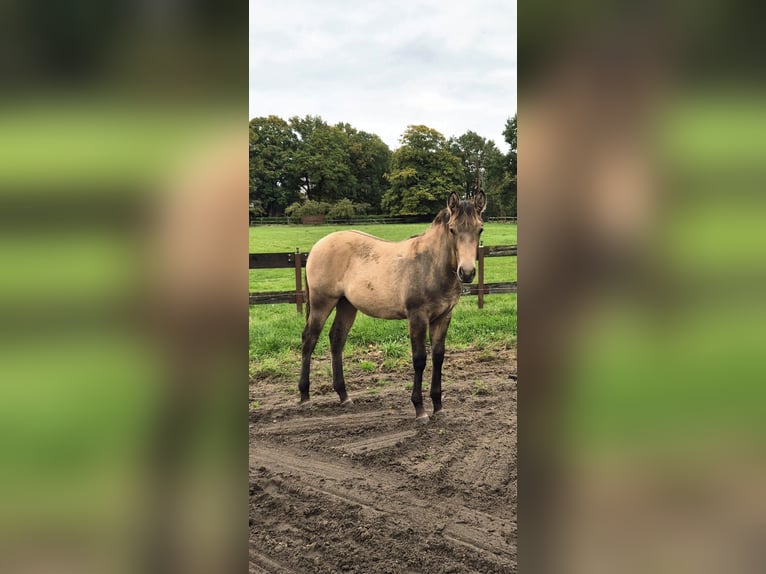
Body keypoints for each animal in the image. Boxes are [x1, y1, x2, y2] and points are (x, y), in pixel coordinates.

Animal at [298, 191, 487, 422]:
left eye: (480, 229)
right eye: (452, 229)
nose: (466, 272)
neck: (430, 265)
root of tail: (317, 246)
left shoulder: (443, 317)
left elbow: (438, 357)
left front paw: (438, 407)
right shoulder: (417, 317)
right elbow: (420, 359)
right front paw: (420, 409)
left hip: (346, 305)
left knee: (337, 339)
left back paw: (344, 395)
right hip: (321, 303)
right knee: (309, 339)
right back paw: (305, 397)